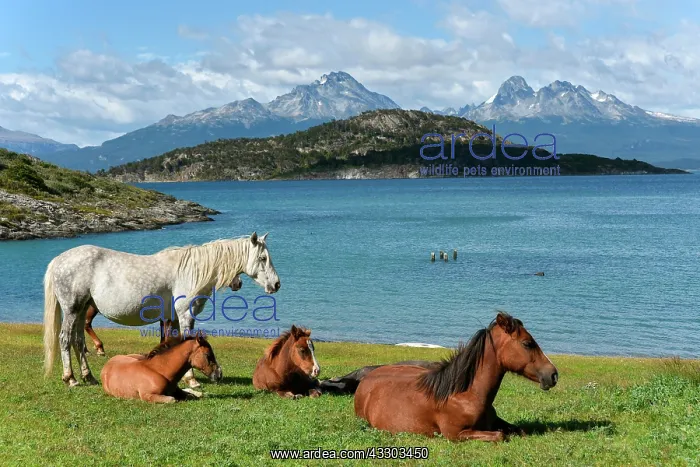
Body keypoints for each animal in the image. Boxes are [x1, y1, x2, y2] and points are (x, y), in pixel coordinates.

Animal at [82, 274, 244, 356]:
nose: (239, 283)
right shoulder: (168, 319)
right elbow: (167, 337)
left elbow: (163, 338)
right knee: (86, 324)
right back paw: (99, 348)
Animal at [354, 312, 559, 442]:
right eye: (527, 343)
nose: (553, 375)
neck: (464, 394)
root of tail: (365, 379)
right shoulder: (455, 435)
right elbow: (500, 435)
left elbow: (518, 430)